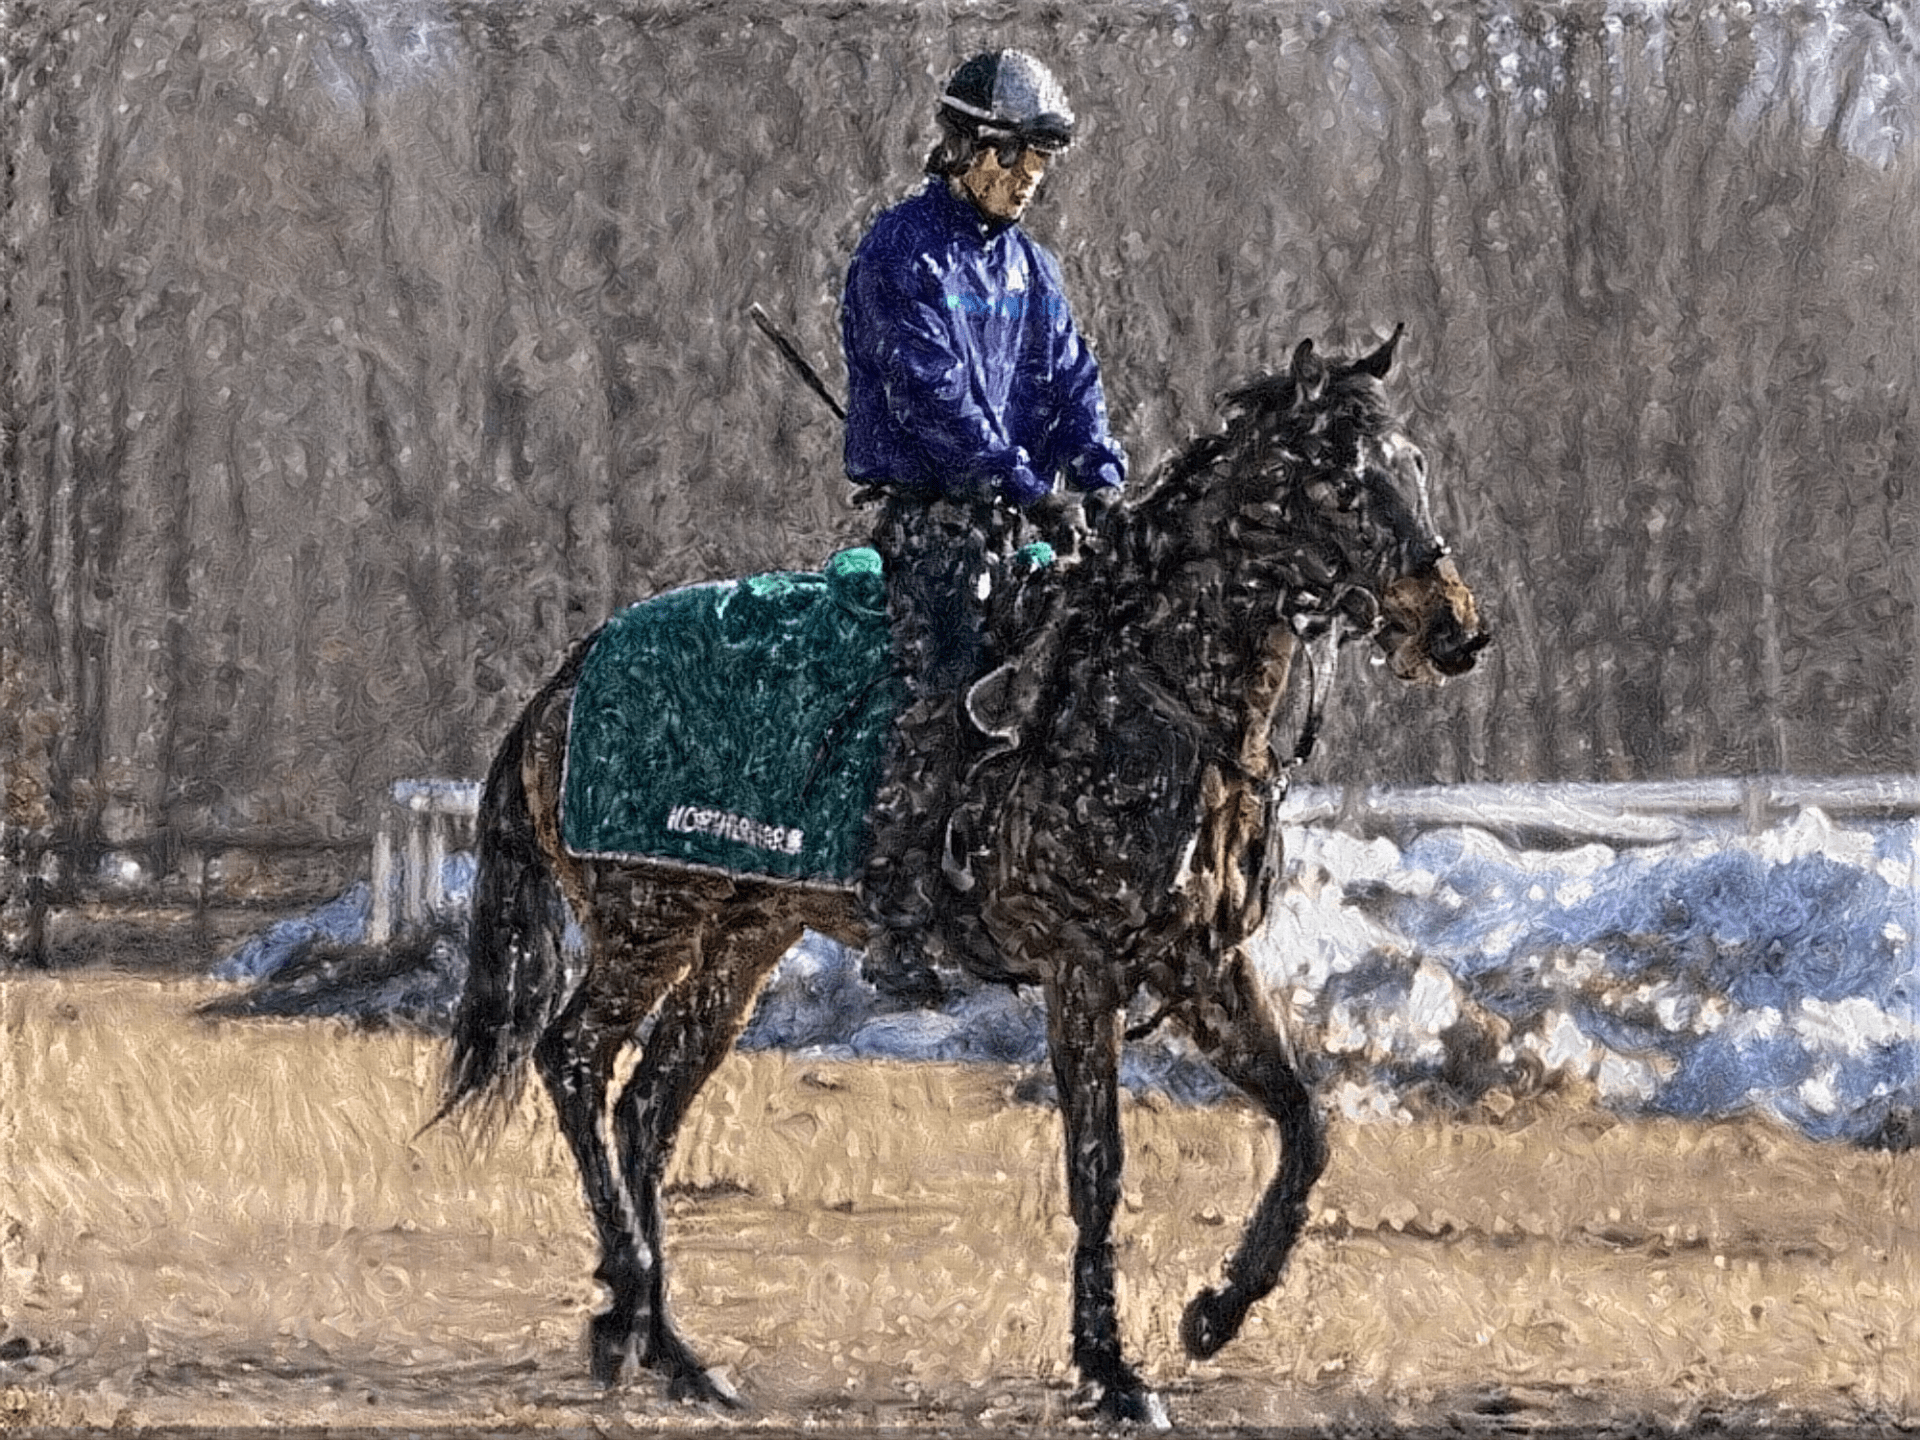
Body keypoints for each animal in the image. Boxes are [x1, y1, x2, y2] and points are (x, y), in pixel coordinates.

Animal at [432, 336, 1482, 1436]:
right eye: (1343, 479)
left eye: (1413, 465)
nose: (1454, 630)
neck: (1145, 698)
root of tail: (567, 678)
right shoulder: (1081, 971)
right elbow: (1098, 1165)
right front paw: (1113, 1370)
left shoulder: (1202, 968)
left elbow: (1303, 1123)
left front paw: (1215, 1311)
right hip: (648, 919)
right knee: (575, 1062)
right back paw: (625, 1303)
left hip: (741, 940)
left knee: (645, 1105)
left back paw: (678, 1353)